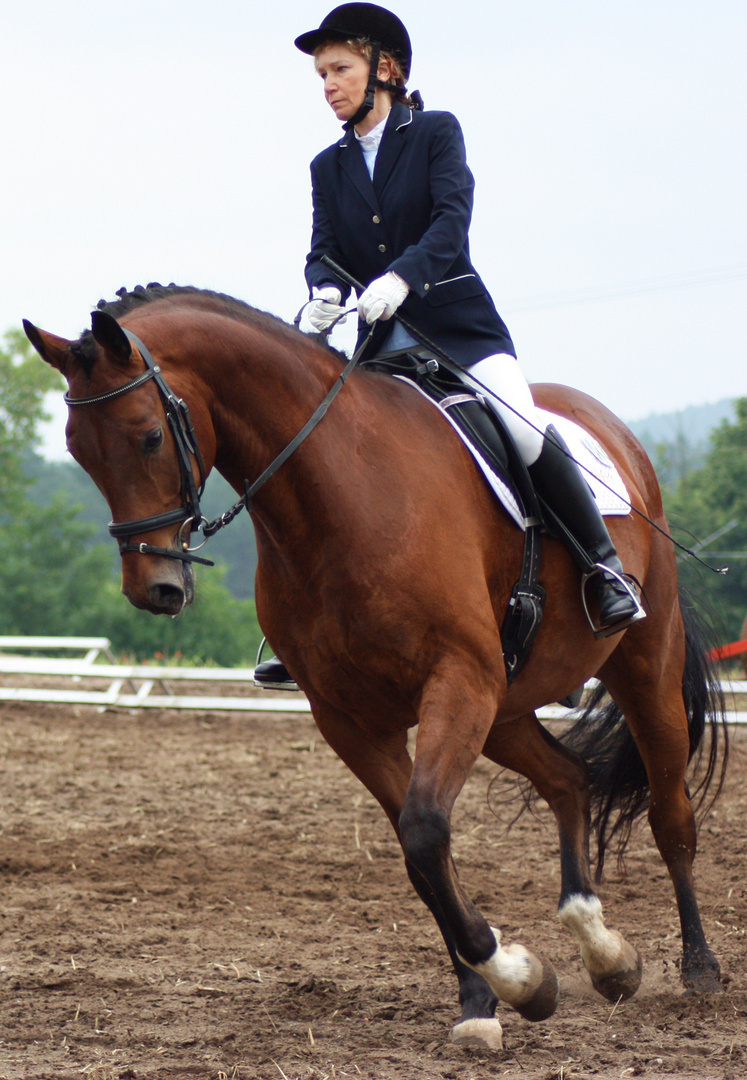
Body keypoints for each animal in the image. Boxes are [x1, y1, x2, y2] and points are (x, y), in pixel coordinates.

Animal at [21, 285, 725, 1045]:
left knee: (669, 812)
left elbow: (425, 832)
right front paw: (485, 1001)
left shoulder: (457, 679)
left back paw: (699, 969)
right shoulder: (351, 716)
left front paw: (517, 979)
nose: (154, 590)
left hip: (640, 666)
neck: (337, 494)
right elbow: (420, 856)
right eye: (76, 450)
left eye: (149, 435)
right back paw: (604, 953)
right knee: (569, 779)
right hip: (506, 705)